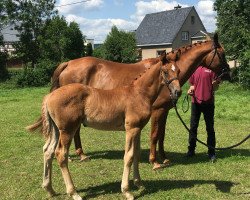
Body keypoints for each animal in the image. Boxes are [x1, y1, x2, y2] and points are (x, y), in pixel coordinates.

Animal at [26, 54, 182, 199]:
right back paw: (74, 192)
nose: (177, 92)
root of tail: (49, 97)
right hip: (67, 130)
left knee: (48, 151)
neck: (139, 93)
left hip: (56, 130)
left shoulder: (138, 129)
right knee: (60, 154)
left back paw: (49, 189)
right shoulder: (131, 129)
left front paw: (139, 183)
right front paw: (127, 191)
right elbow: (129, 156)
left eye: (178, 70)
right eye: (165, 71)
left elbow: (136, 154)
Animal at [35, 33, 230, 170]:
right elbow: (154, 135)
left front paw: (164, 158)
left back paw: (80, 154)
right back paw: (77, 155)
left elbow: (161, 135)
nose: (228, 74)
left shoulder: (165, 111)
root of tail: (68, 63)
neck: (161, 79)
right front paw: (154, 161)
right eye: (222, 54)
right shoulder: (157, 111)